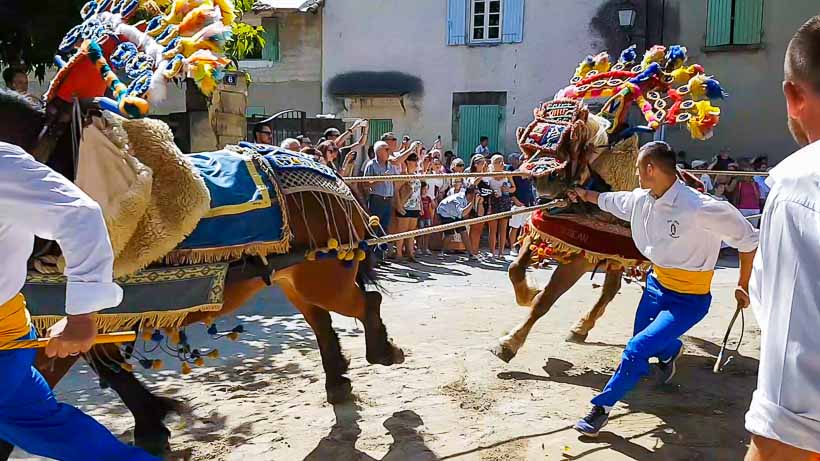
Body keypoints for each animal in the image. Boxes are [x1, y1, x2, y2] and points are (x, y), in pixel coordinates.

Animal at [0, 90, 406, 456]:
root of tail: (329, 175)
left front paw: (151, 425)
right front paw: (151, 423)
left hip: (321, 273)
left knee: (366, 302)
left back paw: (382, 351)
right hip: (297, 275)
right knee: (322, 319)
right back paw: (339, 379)